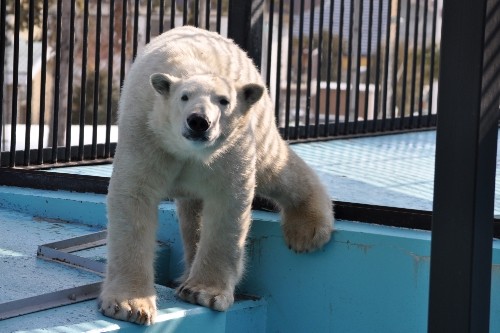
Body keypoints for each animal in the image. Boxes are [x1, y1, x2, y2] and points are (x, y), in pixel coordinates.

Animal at [99, 26, 334, 324]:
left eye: (224, 101)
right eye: (184, 97)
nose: (199, 121)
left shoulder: (231, 150)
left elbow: (228, 208)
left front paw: (202, 292)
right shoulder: (146, 135)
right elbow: (133, 199)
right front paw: (130, 305)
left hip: (258, 124)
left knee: (276, 167)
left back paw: (307, 232)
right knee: (193, 214)